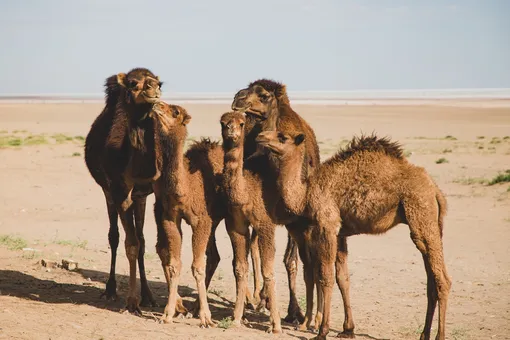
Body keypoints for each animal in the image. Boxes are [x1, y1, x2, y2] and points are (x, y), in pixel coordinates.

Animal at [83, 68, 187, 314]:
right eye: (132, 83)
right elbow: (130, 244)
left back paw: (147, 295)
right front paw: (131, 301)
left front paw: (177, 303)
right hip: (108, 191)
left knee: (141, 239)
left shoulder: (155, 192)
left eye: (159, 82)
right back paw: (111, 290)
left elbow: (160, 246)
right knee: (115, 236)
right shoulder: (120, 190)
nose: (152, 88)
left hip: (140, 197)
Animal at [151, 105, 229, 326]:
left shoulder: (201, 220)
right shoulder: (170, 217)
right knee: (214, 256)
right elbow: (175, 264)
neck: (185, 188)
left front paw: (206, 317)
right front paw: (168, 314)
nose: (156, 105)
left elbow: (197, 266)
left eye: (176, 112)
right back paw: (193, 307)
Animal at [232, 78, 322, 322]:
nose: (238, 98)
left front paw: (294, 312)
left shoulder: (295, 217)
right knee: (252, 248)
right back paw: (253, 297)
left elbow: (291, 261)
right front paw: (263, 299)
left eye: (264, 95)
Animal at [256, 131, 452, 340]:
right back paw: (424, 335)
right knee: (431, 281)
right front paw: (347, 330)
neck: (306, 194)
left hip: (421, 212)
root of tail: (435, 190)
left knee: (442, 280)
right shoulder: (340, 233)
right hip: (430, 225)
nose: (260, 136)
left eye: (282, 137)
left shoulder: (327, 225)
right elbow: (343, 278)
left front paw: (322, 332)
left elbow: (326, 277)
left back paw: (440, 335)